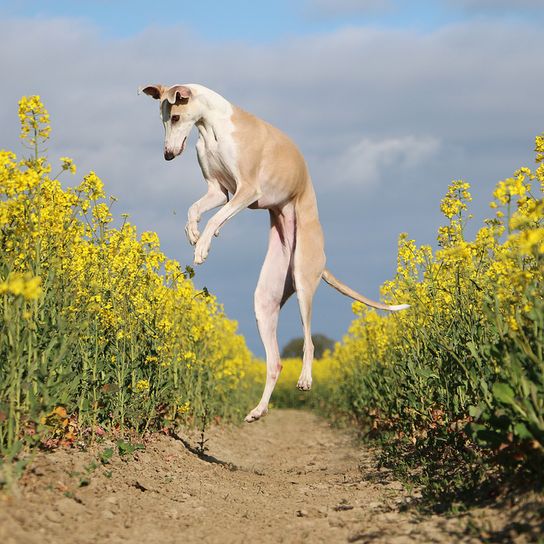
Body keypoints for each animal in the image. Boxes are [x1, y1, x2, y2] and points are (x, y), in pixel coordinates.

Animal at [140, 83, 408, 422]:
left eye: (175, 117)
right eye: (163, 119)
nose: (167, 155)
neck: (212, 126)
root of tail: (322, 260)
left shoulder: (245, 191)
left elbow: (216, 217)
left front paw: (203, 244)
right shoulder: (219, 191)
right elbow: (195, 209)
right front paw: (193, 232)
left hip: (304, 279)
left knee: (309, 343)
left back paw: (305, 379)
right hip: (265, 300)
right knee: (275, 363)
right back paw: (258, 410)